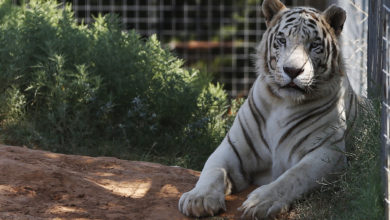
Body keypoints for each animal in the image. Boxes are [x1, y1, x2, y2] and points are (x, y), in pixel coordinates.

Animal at [178, 0, 358, 218]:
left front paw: (260, 203)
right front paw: (198, 199)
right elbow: (212, 170)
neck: (284, 103)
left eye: (314, 44)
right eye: (282, 40)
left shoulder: (328, 152)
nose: (292, 71)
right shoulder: (232, 148)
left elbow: (292, 177)